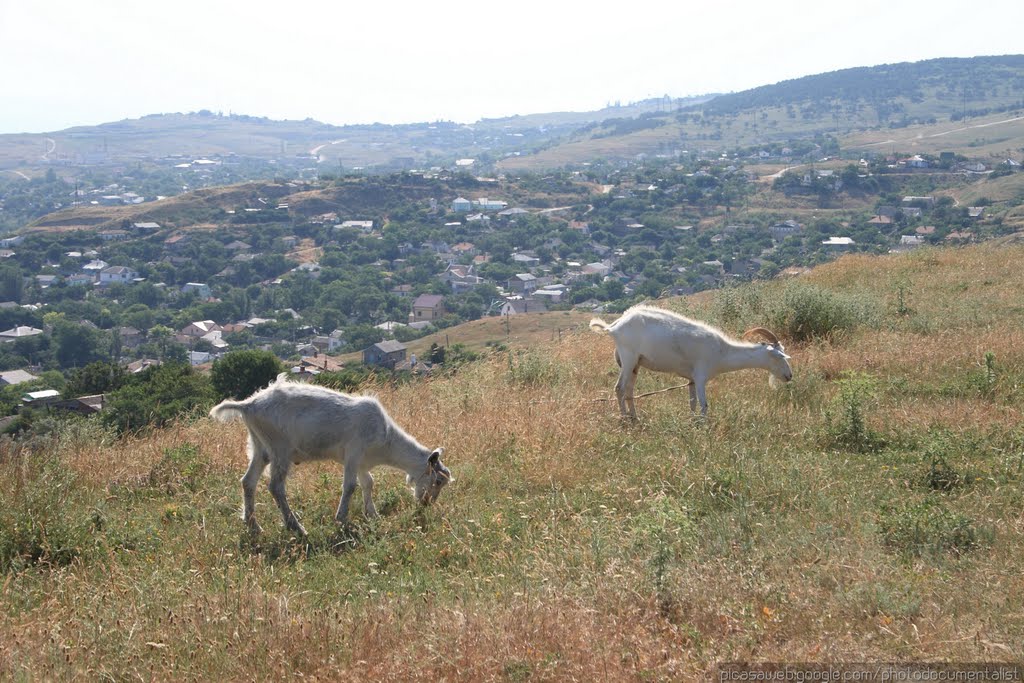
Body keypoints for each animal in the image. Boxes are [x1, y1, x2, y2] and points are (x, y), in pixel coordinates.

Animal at [207, 376, 448, 536]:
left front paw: (372, 515)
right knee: (275, 487)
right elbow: (350, 486)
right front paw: (341, 519)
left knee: (248, 482)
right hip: (280, 449)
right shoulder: (353, 452)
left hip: (260, 448)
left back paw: (253, 526)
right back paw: (296, 527)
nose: (427, 503)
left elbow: (368, 483)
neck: (386, 439)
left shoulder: (361, 462)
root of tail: (248, 405)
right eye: (437, 480)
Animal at [589, 305, 794, 417]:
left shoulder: (692, 380)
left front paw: (693, 422)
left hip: (635, 364)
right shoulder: (701, 376)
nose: (789, 376)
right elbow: (704, 404)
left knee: (629, 391)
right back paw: (624, 418)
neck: (723, 352)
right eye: (778, 356)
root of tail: (614, 327)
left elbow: (693, 403)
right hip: (628, 357)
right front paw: (704, 428)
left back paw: (635, 417)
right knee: (619, 388)